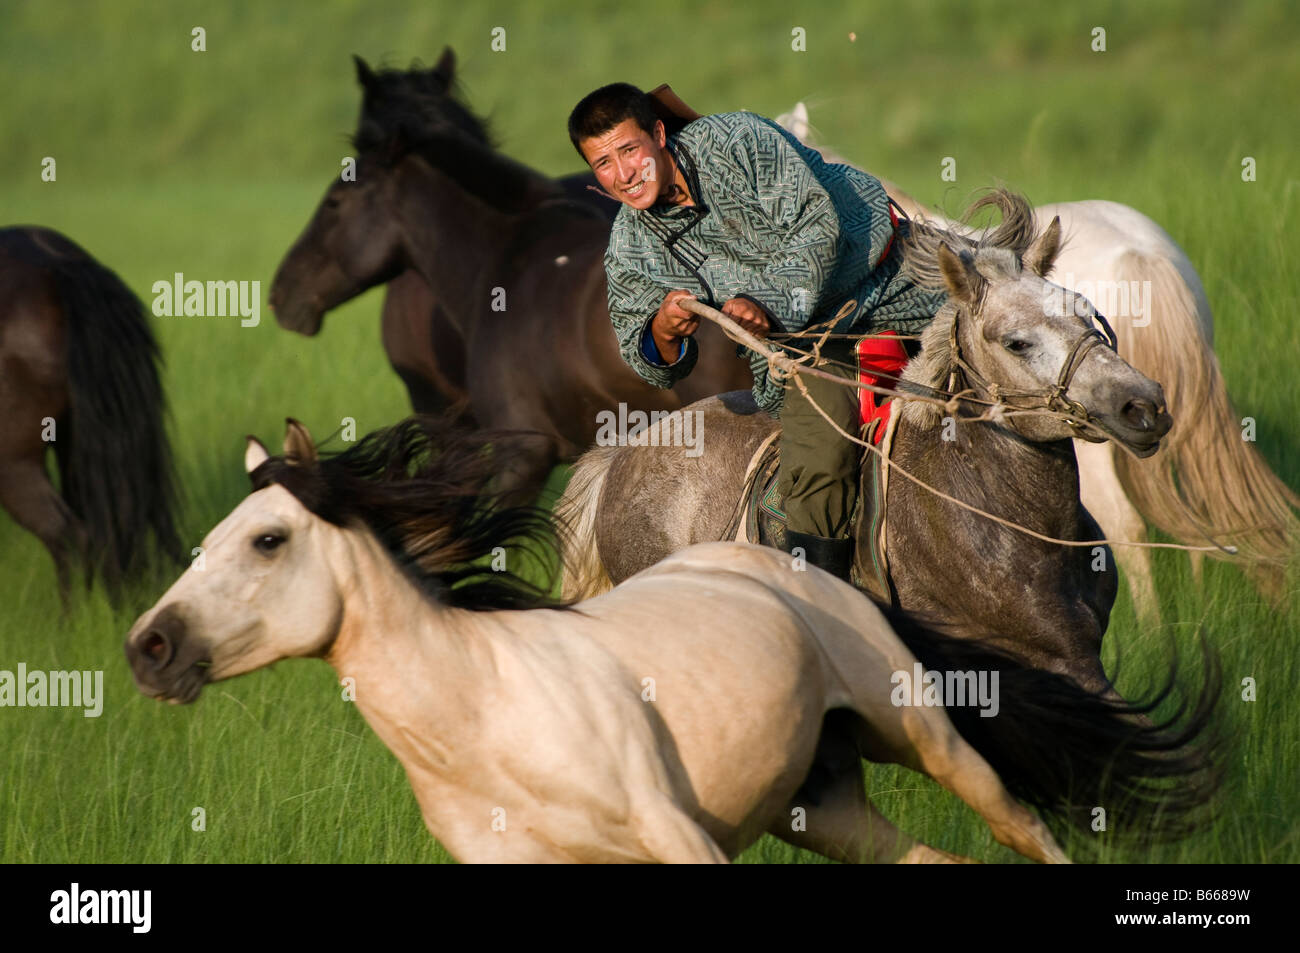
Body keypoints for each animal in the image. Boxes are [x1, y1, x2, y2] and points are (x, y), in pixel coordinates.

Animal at [123, 415, 1219, 863]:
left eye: (267, 538)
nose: (149, 646)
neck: (485, 724)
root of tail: (797, 563)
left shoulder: (675, 834)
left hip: (925, 737)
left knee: (1021, 824)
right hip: (820, 809)